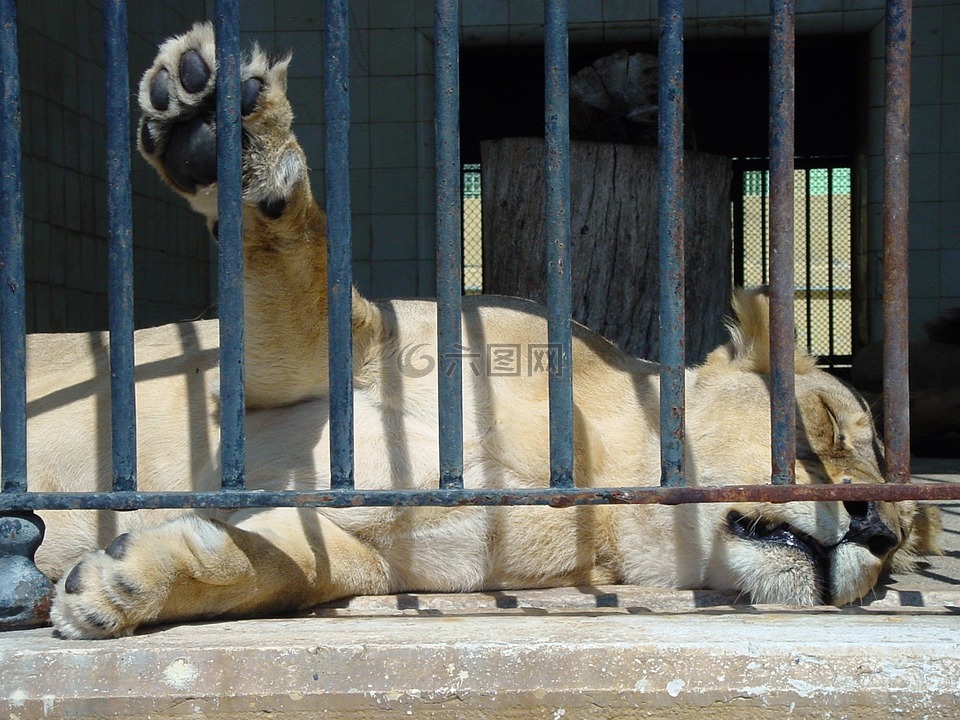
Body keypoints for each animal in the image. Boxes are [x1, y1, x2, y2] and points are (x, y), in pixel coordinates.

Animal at [11, 23, 936, 640]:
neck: (599, 484)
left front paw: (124, 585)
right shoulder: (301, 369)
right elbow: (303, 261)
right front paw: (230, 135)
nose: (877, 530)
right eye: (824, 425)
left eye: (896, 550)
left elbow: (272, 568)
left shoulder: (369, 555)